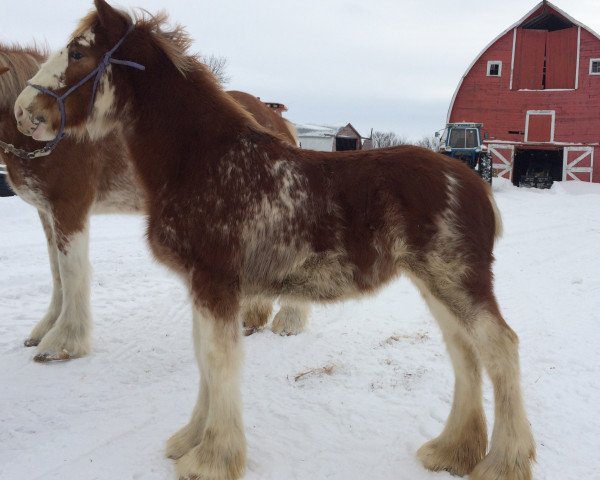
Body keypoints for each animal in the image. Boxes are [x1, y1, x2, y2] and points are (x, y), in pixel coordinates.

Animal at [1, 45, 304, 362]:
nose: (25, 113)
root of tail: (278, 122)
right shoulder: (47, 213)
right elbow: (56, 272)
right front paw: (45, 329)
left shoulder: (69, 208)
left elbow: (71, 271)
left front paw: (63, 342)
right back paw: (253, 317)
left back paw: (288, 322)